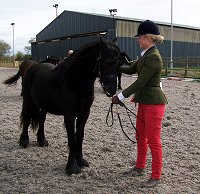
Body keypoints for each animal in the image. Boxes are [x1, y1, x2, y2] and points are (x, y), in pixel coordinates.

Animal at [18, 38, 125, 176]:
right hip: (28, 100)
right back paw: (24, 141)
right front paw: (72, 167)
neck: (74, 83)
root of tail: (33, 66)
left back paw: (42, 140)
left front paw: (81, 160)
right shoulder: (69, 115)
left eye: (117, 63)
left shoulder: (84, 114)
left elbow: (80, 136)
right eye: (106, 61)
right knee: (26, 117)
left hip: (44, 105)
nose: (111, 90)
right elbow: (72, 139)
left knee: (41, 119)